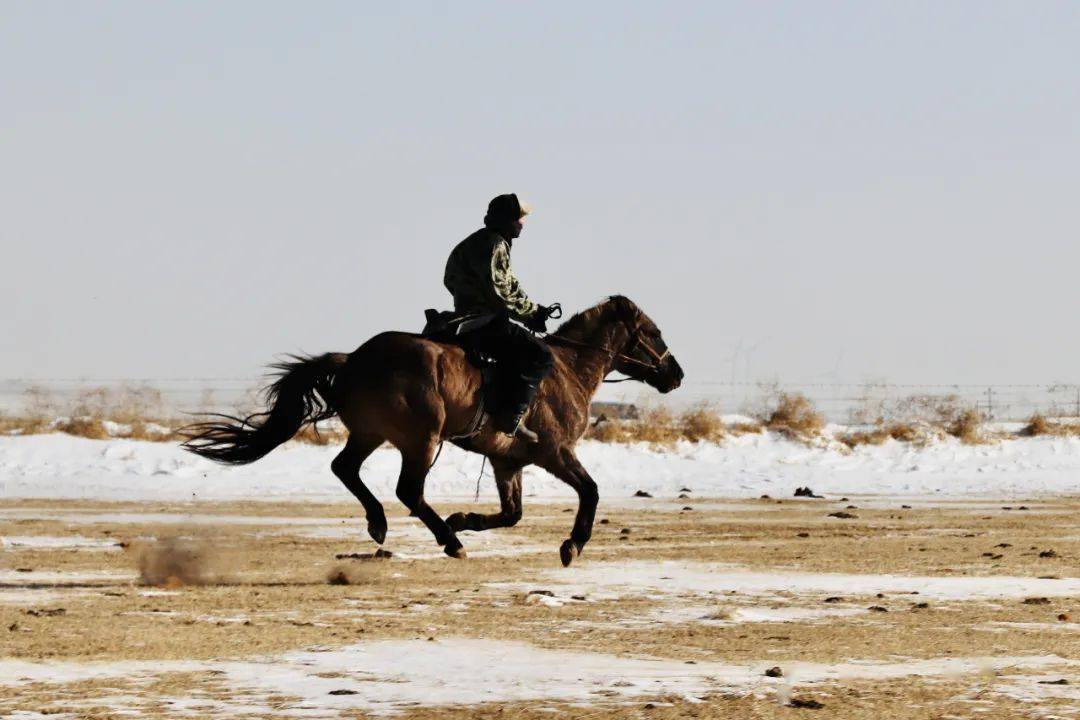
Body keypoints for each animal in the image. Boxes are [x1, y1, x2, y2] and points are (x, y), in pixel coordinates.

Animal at [178, 295, 682, 565]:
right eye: (654, 332)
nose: (675, 374)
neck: (565, 369)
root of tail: (354, 359)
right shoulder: (555, 453)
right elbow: (590, 491)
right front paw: (572, 545)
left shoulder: (506, 461)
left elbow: (511, 514)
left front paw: (465, 518)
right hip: (421, 440)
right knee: (408, 491)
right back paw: (448, 542)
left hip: (372, 434)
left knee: (345, 469)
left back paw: (384, 524)